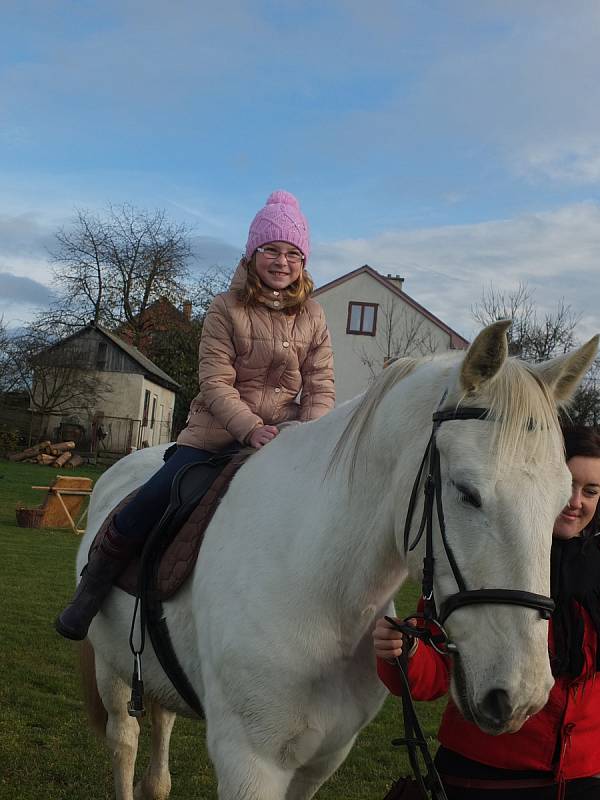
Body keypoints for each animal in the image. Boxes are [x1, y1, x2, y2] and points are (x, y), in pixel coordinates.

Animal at [78, 320, 596, 800]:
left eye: (562, 503)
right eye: (467, 492)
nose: (522, 695)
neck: (319, 592)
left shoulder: (320, 763)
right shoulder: (249, 764)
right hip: (113, 670)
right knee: (124, 741)